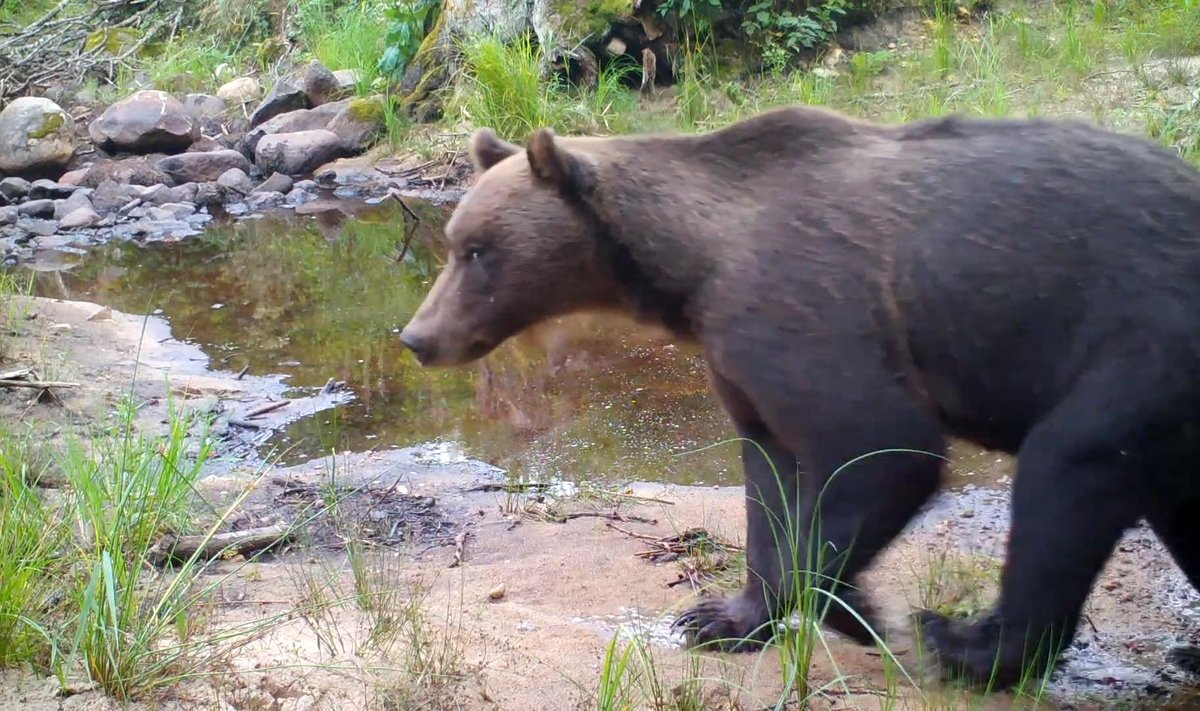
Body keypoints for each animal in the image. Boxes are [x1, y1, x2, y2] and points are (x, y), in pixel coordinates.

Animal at [398, 105, 1200, 686]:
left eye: (477, 250)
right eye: (456, 241)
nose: (416, 336)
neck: (692, 267)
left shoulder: (799, 311)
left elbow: (880, 443)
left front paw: (852, 605)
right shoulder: (738, 360)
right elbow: (768, 479)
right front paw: (723, 615)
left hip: (1142, 340)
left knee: (1067, 468)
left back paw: (968, 642)